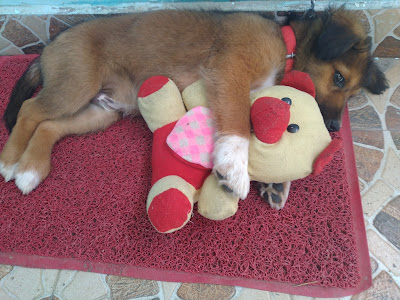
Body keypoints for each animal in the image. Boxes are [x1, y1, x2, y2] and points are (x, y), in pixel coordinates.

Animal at [0, 8, 388, 204]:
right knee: (30, 111)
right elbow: (237, 120)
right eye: (338, 78)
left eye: (353, 94)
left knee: (49, 125)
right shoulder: (230, 69)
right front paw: (233, 166)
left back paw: (31, 169)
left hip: (102, 111)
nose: (334, 128)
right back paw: (10, 160)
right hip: (77, 85)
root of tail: (49, 47)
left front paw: (275, 186)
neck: (286, 43)